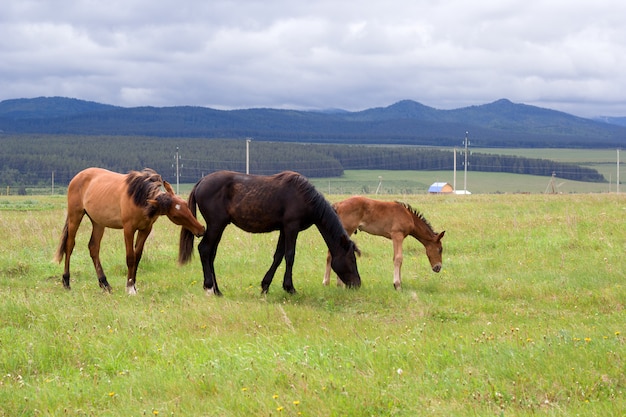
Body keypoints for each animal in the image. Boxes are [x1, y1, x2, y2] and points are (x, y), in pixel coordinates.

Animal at [54, 166, 205, 292]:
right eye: (175, 215)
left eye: (185, 204)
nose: (201, 229)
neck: (139, 199)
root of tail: (77, 177)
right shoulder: (128, 229)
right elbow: (130, 257)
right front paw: (130, 287)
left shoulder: (145, 229)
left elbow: (137, 256)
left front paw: (134, 284)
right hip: (75, 216)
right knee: (69, 245)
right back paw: (66, 282)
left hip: (98, 223)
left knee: (93, 247)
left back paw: (105, 284)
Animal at [178, 170, 358, 296]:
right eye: (352, 259)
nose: (357, 284)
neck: (305, 197)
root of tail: (201, 182)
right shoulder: (291, 227)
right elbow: (290, 256)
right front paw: (290, 288)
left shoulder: (284, 229)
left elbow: (278, 256)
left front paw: (265, 286)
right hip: (216, 225)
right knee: (204, 250)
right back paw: (209, 287)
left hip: (219, 227)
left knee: (211, 254)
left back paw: (217, 290)